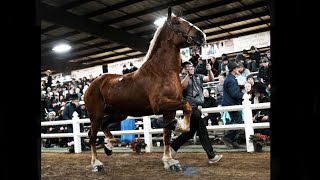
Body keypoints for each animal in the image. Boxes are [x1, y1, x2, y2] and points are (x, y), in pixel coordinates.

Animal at [84, 7, 205, 172]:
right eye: (177, 23)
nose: (201, 36)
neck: (163, 71)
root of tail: (92, 84)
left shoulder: (169, 110)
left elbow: (167, 135)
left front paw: (169, 161)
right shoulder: (160, 105)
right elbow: (187, 106)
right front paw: (181, 126)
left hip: (118, 114)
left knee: (104, 125)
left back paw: (109, 146)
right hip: (96, 115)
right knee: (92, 136)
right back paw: (97, 163)